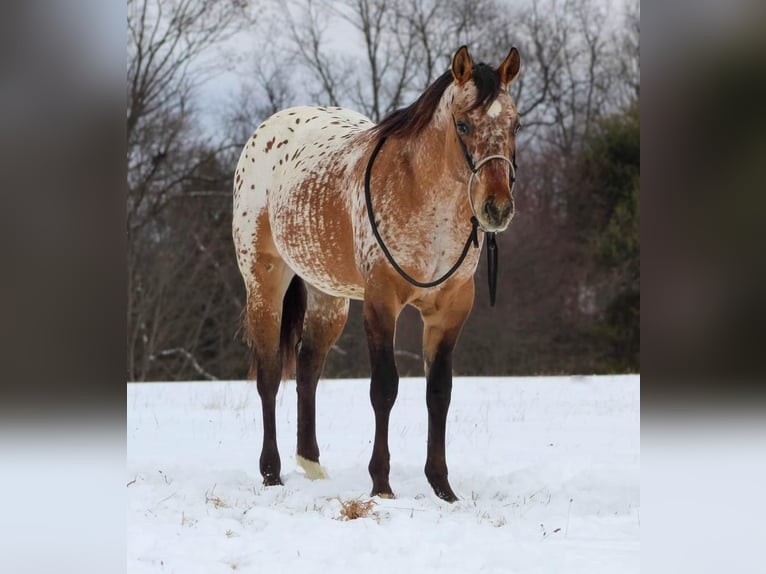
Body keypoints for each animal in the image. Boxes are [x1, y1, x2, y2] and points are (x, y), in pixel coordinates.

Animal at [232, 47, 520, 502]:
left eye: (515, 124)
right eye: (463, 124)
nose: (497, 208)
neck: (421, 196)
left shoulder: (450, 309)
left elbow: (439, 392)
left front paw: (443, 488)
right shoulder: (382, 301)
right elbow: (384, 388)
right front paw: (381, 484)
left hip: (328, 297)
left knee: (308, 367)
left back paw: (311, 464)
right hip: (264, 284)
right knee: (270, 375)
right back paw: (271, 472)